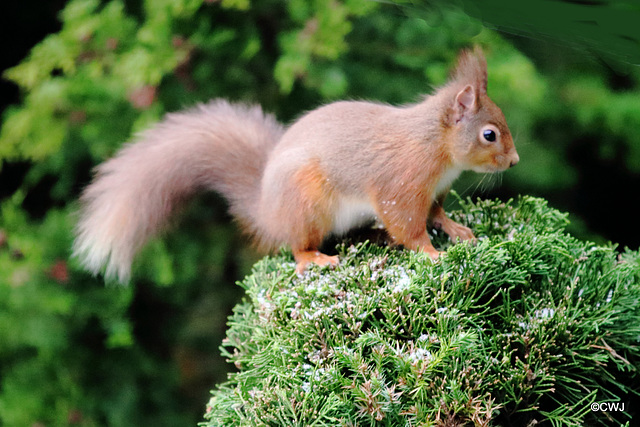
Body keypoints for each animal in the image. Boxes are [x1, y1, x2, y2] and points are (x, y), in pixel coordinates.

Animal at [72, 46, 516, 282]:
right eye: (489, 134)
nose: (513, 161)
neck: (437, 148)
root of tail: (268, 211)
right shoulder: (401, 184)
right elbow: (408, 225)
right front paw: (431, 252)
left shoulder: (436, 190)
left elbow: (436, 212)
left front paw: (455, 229)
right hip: (307, 202)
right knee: (296, 245)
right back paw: (314, 258)